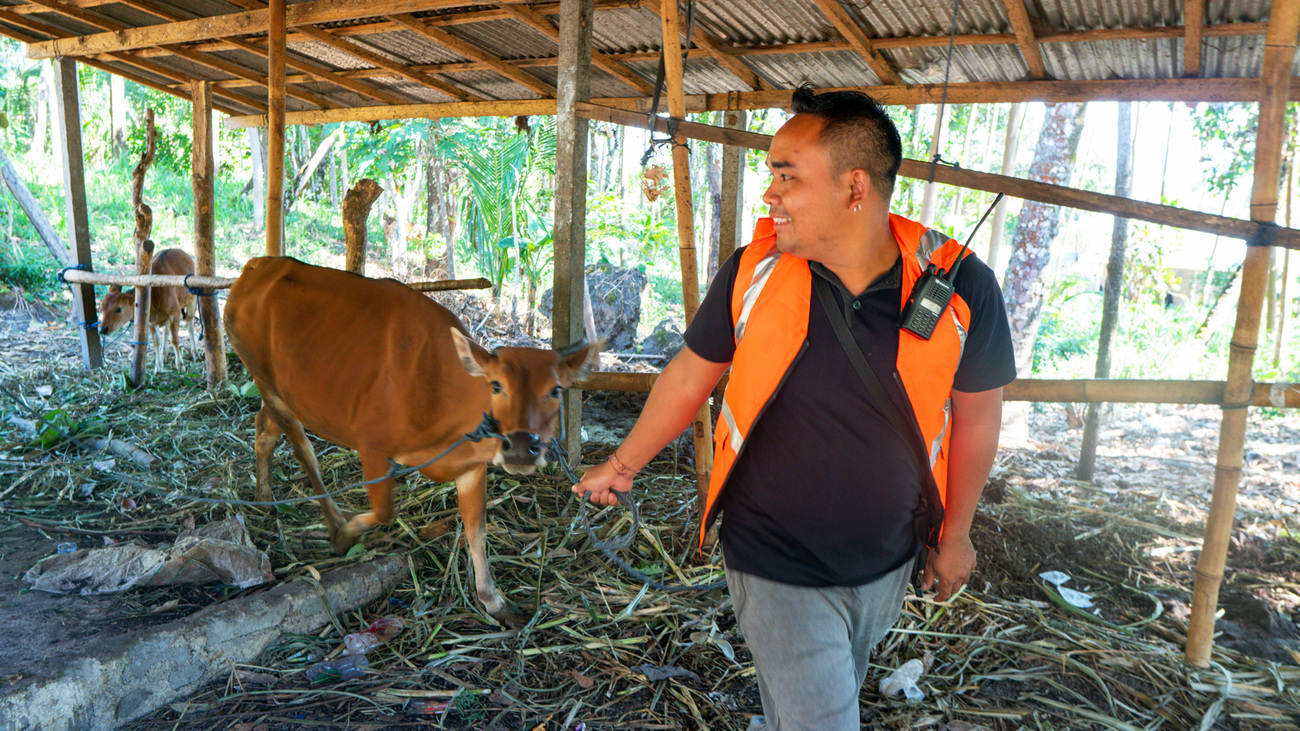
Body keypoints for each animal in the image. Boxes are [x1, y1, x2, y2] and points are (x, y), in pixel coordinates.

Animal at [224, 254, 603, 619]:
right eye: (496, 385)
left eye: (556, 389)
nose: (522, 448)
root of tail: (259, 264)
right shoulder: (373, 447)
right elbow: (384, 512)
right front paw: (347, 533)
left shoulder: (471, 465)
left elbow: (477, 529)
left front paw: (491, 597)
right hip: (268, 384)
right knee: (303, 450)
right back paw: (333, 524)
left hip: (282, 395)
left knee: (264, 429)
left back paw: (263, 496)